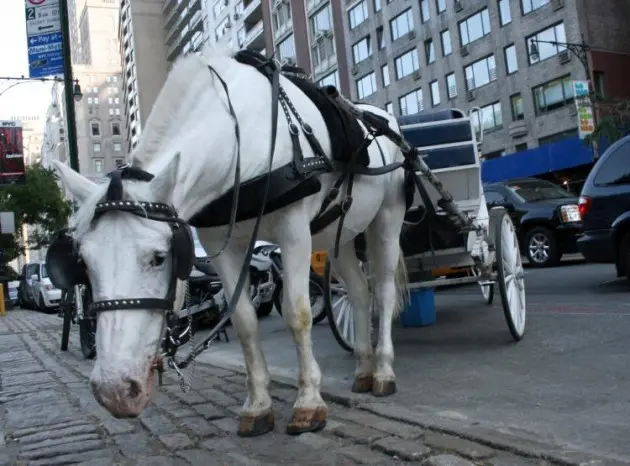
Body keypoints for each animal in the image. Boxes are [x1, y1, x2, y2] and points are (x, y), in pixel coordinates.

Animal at [53, 44, 410, 436]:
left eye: (159, 257)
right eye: (83, 263)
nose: (114, 390)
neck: (243, 134)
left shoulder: (294, 231)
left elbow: (297, 313)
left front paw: (309, 402)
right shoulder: (217, 245)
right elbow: (243, 321)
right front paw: (258, 406)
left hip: (387, 219)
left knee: (383, 291)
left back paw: (383, 372)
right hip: (340, 234)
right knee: (360, 292)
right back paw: (364, 368)